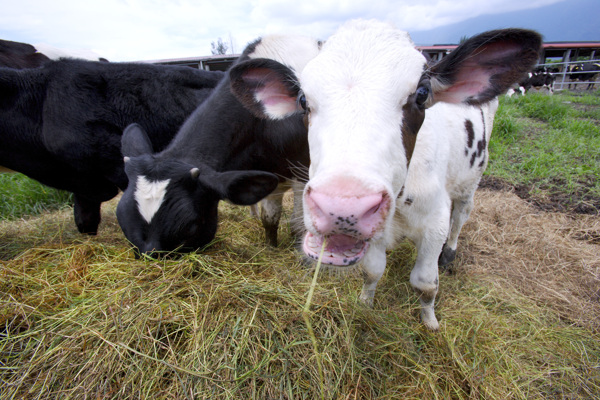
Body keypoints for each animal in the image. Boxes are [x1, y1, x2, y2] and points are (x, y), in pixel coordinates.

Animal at [118, 34, 324, 255]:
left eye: (191, 227)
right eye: (122, 220)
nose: (149, 255)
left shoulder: (301, 171)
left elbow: (297, 224)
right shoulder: (270, 175)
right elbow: (270, 219)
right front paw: (271, 248)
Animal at [230, 20, 540, 330]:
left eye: (422, 93)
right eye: (303, 100)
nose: (341, 208)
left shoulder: (435, 222)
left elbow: (425, 283)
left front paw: (430, 322)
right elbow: (372, 271)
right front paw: (366, 303)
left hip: (471, 177)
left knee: (461, 214)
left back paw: (450, 253)